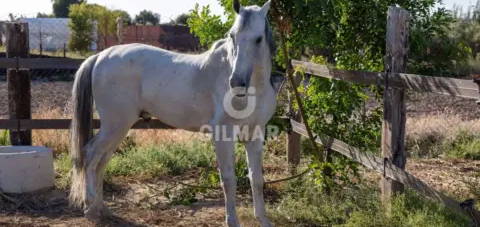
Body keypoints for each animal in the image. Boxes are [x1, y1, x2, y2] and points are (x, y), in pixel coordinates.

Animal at [69, 0, 276, 226]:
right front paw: (232, 221)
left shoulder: (254, 136)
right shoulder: (223, 136)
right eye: (232, 35)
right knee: (90, 156)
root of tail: (100, 56)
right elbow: (229, 180)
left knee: (101, 161)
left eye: (258, 39)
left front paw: (263, 220)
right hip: (114, 125)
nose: (236, 82)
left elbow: (256, 179)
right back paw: (90, 209)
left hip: (117, 128)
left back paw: (101, 208)